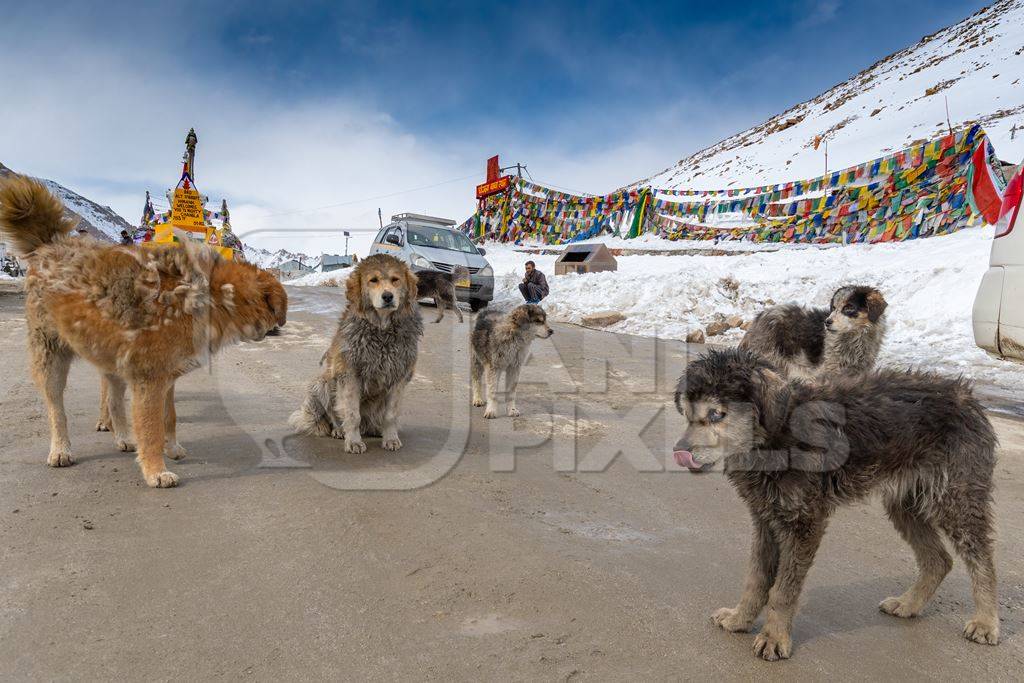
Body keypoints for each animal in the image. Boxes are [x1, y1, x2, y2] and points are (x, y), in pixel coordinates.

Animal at [0, 176, 288, 485]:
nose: (276, 329)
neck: (207, 297)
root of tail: (51, 244)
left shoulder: (166, 377)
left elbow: (169, 417)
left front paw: (171, 447)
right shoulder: (150, 379)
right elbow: (151, 429)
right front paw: (155, 470)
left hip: (111, 357)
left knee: (114, 400)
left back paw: (124, 437)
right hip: (51, 356)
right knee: (57, 409)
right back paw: (61, 450)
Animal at [671, 348, 999, 663]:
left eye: (716, 414)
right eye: (687, 413)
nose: (679, 452)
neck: (776, 436)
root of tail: (970, 398)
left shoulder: (805, 522)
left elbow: (783, 591)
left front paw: (775, 638)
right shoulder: (764, 517)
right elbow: (756, 577)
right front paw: (740, 619)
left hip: (957, 497)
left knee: (981, 559)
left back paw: (986, 621)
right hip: (905, 504)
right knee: (938, 560)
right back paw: (908, 604)